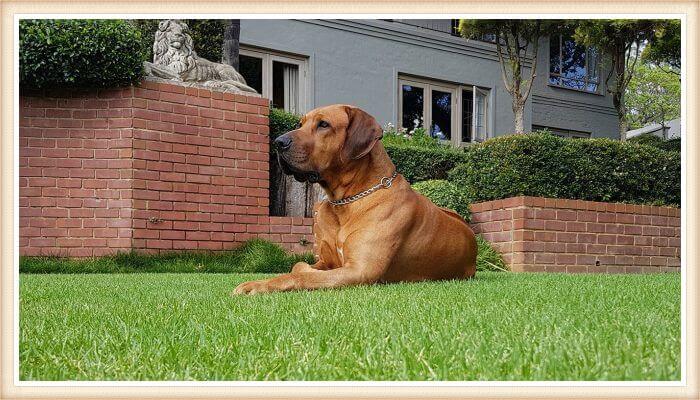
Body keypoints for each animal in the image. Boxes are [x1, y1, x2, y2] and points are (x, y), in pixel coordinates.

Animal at [232, 104, 478, 296]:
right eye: (300, 123)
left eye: (323, 124)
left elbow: (301, 275)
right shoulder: (327, 261)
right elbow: (298, 264)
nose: (278, 142)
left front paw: (258, 284)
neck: (346, 201)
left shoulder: (360, 270)